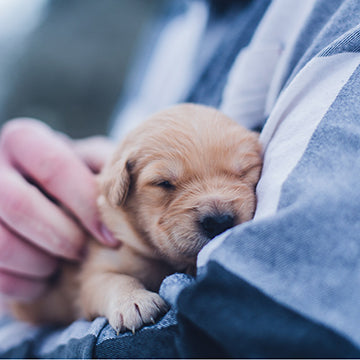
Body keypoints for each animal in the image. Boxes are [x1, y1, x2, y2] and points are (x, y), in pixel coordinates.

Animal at [11, 104, 262, 334]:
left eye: (244, 171)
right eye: (163, 183)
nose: (219, 221)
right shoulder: (95, 270)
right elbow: (113, 280)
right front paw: (133, 301)